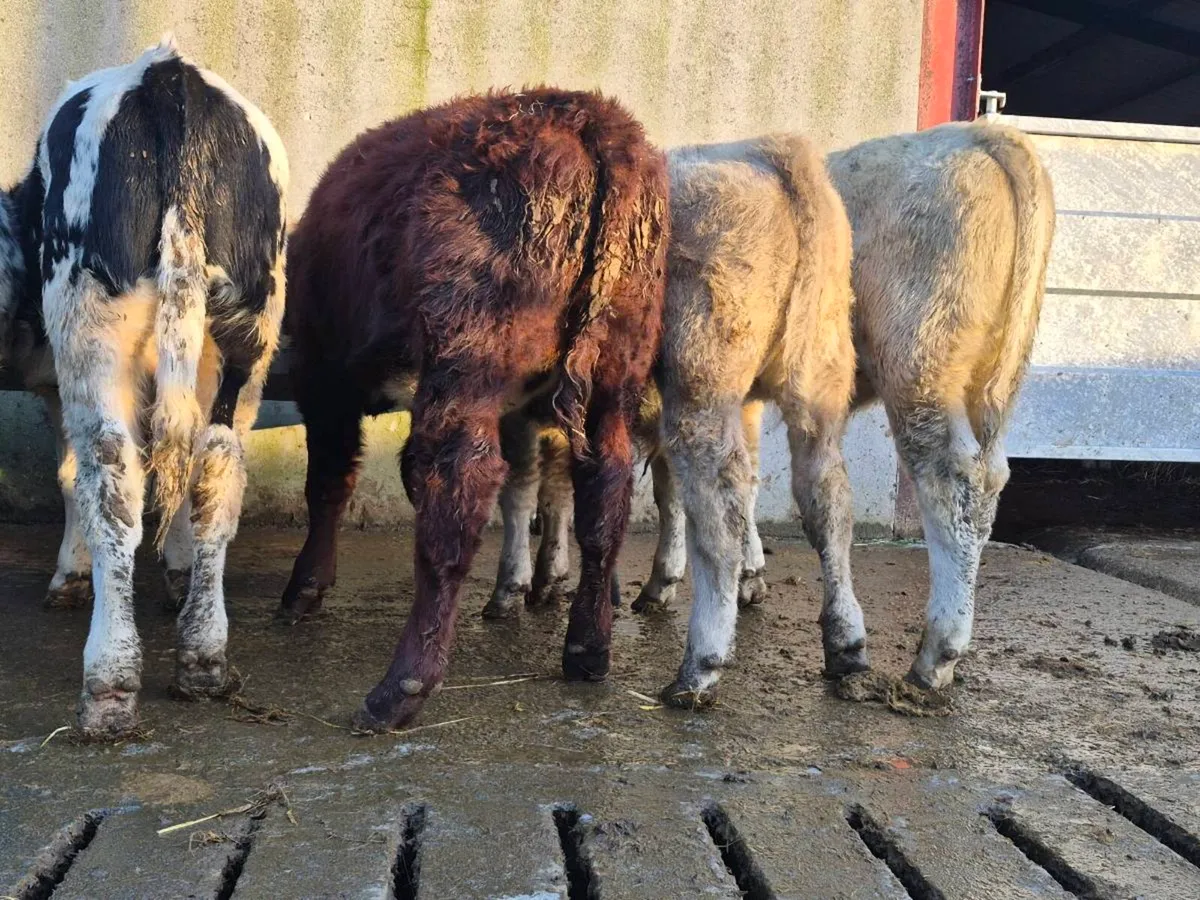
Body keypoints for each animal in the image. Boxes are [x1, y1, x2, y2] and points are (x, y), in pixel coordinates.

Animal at [0, 36, 288, 737]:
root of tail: (168, 77)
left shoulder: (56, 382)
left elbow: (69, 475)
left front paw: (70, 577)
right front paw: (177, 572)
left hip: (90, 328)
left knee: (112, 477)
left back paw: (109, 684)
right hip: (247, 337)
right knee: (215, 470)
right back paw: (203, 660)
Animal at [281, 89, 667, 731]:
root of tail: (583, 113)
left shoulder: (325, 379)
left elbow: (329, 484)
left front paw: (305, 588)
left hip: (466, 375)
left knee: (459, 493)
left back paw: (400, 688)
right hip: (615, 382)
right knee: (603, 499)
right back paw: (587, 649)